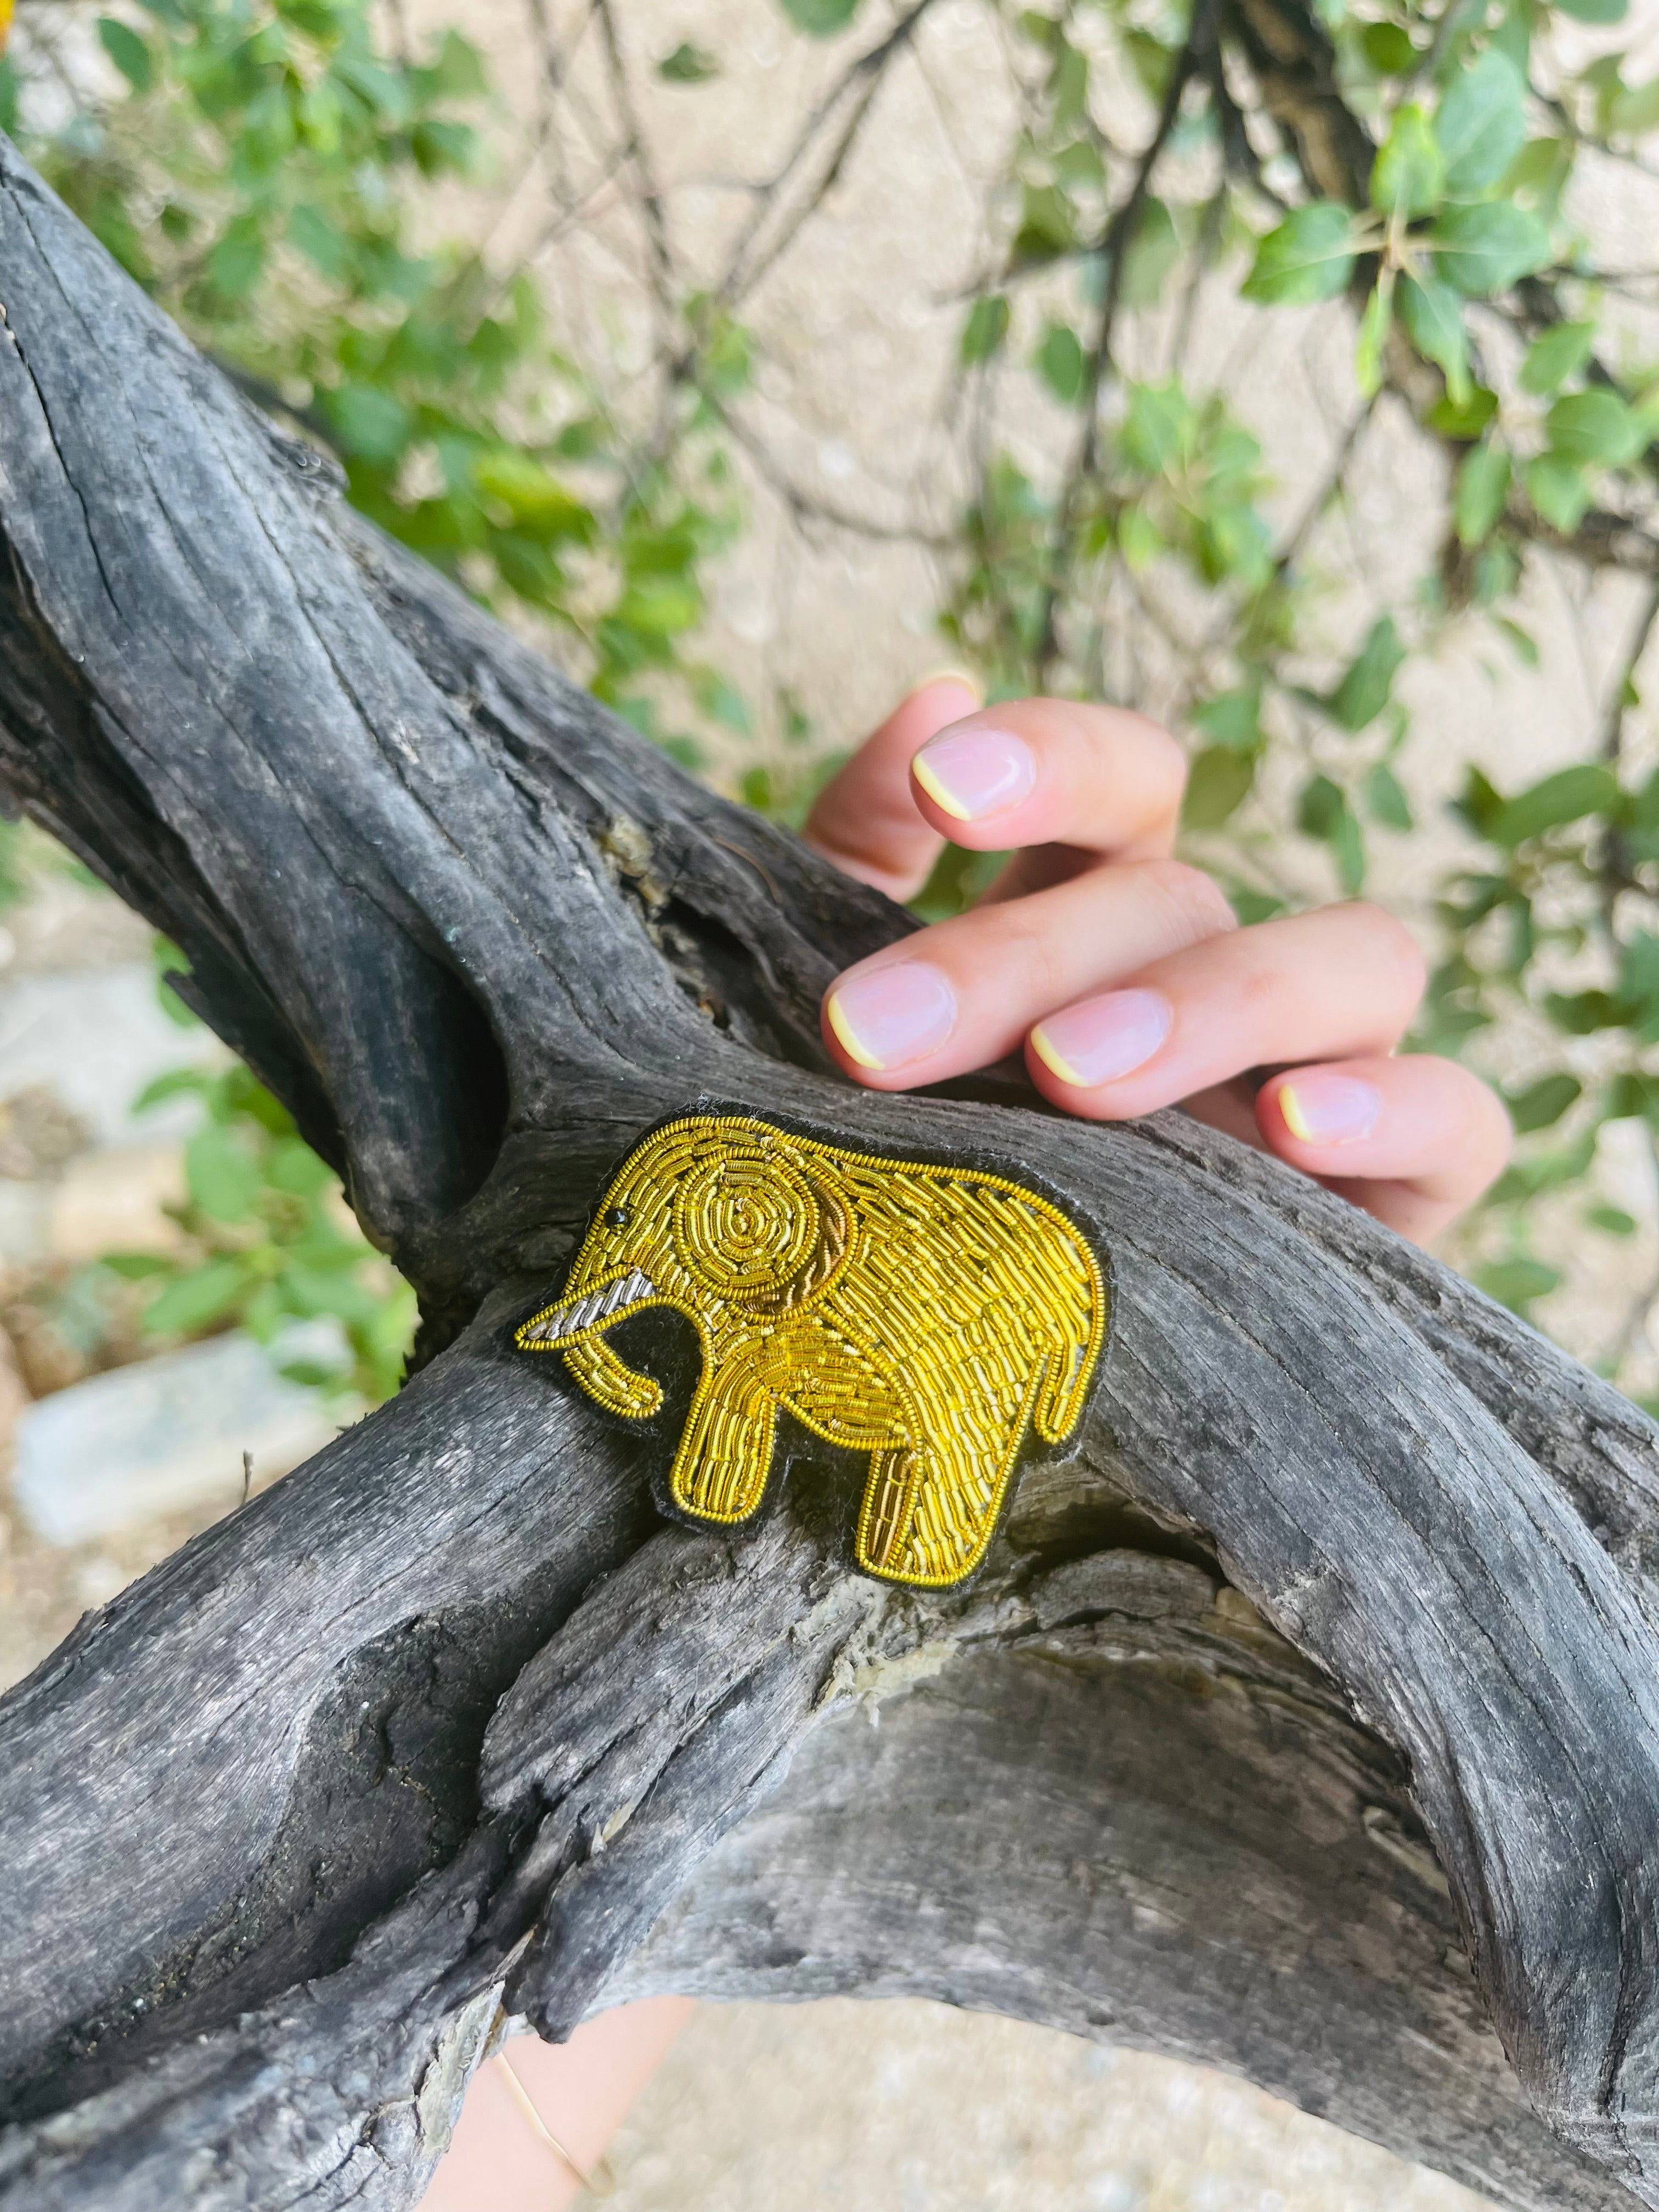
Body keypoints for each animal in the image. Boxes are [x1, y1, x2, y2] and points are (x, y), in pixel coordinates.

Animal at [516, 1110, 1108, 1588]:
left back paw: (905, 1573)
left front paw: (704, 1506)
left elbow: (734, 1386)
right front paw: (712, 1506)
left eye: (618, 1217)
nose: (650, 1393)